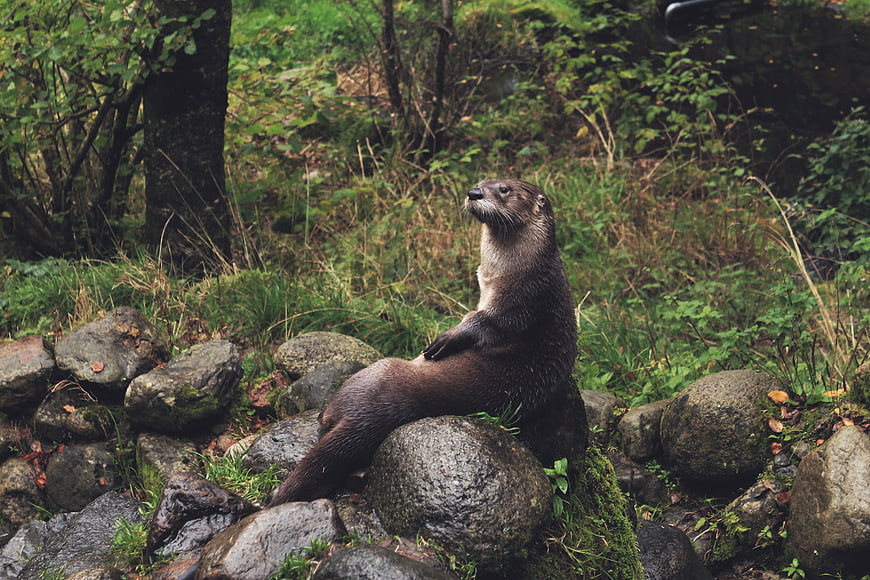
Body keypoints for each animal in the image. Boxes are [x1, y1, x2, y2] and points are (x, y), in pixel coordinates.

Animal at [268, 178, 577, 506]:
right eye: (481, 182)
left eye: (504, 189)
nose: (474, 193)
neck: (517, 269)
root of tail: (364, 419)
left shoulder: (522, 300)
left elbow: (486, 323)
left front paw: (446, 338)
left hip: (373, 373)